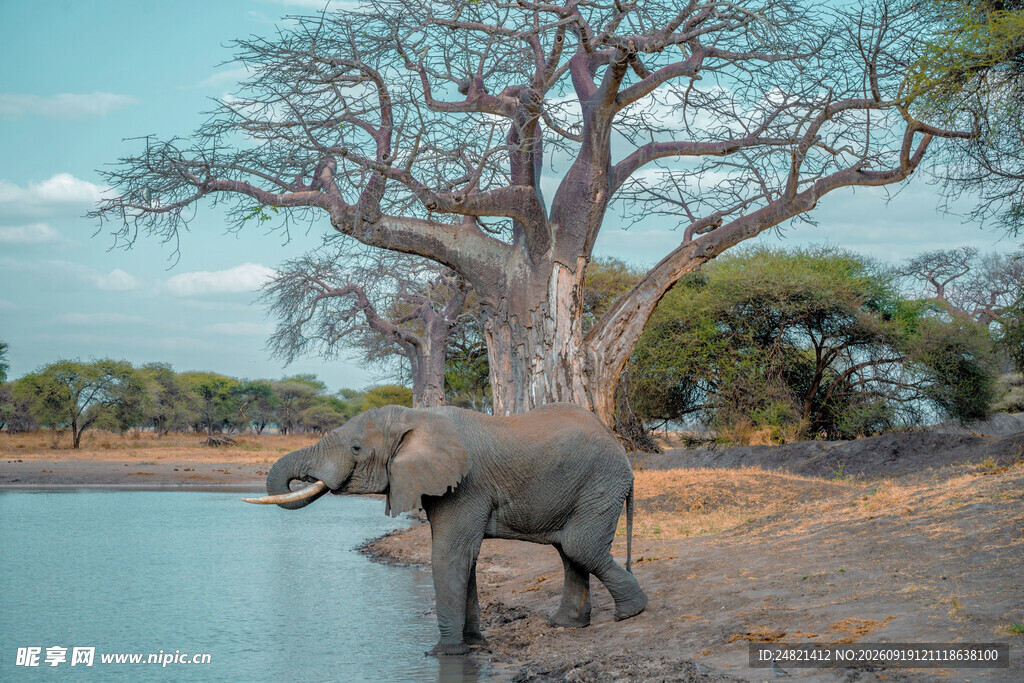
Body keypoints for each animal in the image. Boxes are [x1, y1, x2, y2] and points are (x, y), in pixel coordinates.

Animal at [243, 402, 648, 656]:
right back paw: (567, 626)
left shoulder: (465, 485)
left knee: (580, 547)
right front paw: (474, 645)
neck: (418, 417)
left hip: (600, 482)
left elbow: (449, 556)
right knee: (568, 551)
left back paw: (632, 614)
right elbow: (464, 559)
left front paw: (444, 653)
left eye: (356, 448)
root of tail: (619, 445)